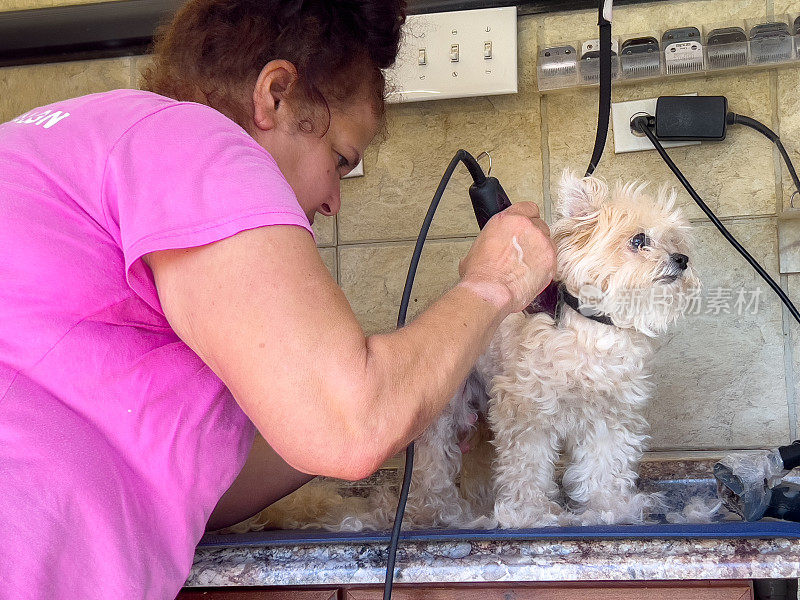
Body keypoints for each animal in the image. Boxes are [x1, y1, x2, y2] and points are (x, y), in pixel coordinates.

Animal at [230, 171, 700, 532]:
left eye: (677, 240)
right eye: (638, 240)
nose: (682, 260)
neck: (593, 333)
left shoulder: (610, 417)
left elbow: (606, 466)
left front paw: (610, 510)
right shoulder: (526, 412)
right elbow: (528, 467)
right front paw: (530, 513)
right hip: (441, 422)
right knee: (432, 476)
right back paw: (436, 514)